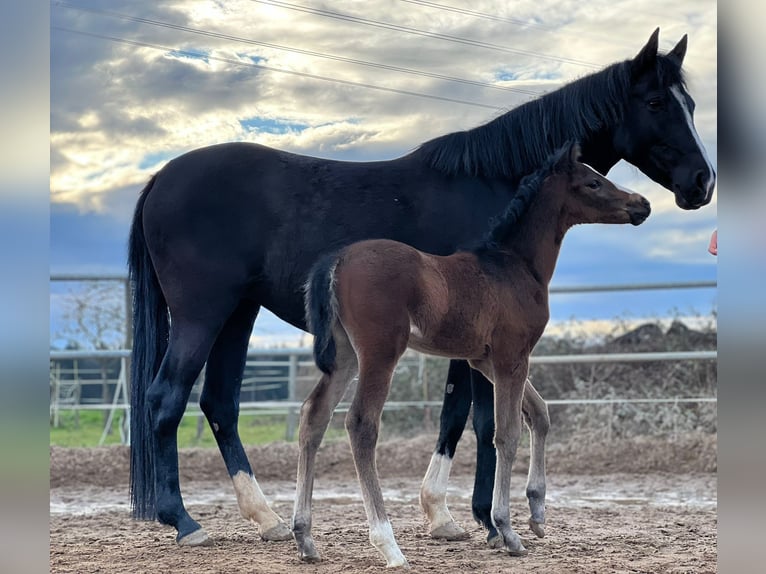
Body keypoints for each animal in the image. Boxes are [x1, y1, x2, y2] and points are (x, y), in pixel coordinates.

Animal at [297, 142, 652, 566]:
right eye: (594, 182)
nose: (643, 204)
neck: (515, 265)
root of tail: (336, 261)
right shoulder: (512, 356)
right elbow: (507, 433)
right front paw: (507, 529)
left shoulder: (484, 360)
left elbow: (540, 414)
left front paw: (537, 512)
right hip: (380, 353)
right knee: (361, 424)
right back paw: (389, 545)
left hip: (345, 356)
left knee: (314, 416)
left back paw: (304, 537)